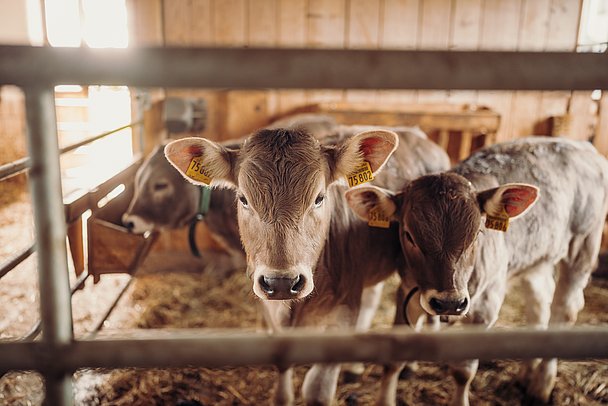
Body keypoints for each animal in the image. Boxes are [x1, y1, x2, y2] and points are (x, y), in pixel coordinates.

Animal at [164, 125, 448, 404]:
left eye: (319, 198)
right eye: (244, 199)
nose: (281, 282)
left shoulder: (342, 314)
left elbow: (317, 391)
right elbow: (282, 386)